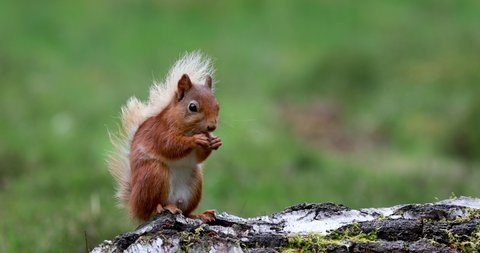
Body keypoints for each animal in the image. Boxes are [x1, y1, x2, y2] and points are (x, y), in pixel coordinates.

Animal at [108, 52, 220, 222]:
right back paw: (163, 207)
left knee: (186, 212)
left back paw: (200, 214)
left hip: (196, 183)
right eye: (192, 107)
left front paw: (215, 141)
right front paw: (195, 140)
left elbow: (199, 157)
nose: (212, 126)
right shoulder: (159, 132)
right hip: (154, 174)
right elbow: (170, 146)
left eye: (217, 105)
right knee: (151, 208)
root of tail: (134, 204)